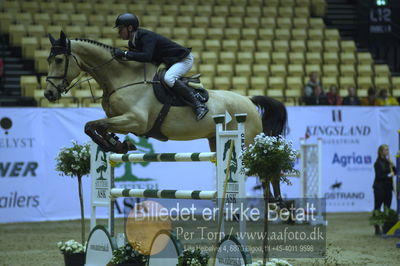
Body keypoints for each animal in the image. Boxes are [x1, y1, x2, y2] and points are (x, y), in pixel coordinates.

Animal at [44, 31, 288, 200]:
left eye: (59, 60)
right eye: (48, 60)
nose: (48, 93)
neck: (121, 78)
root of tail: (248, 100)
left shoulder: (136, 121)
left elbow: (92, 125)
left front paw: (117, 144)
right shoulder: (118, 118)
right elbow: (95, 126)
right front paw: (118, 145)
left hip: (247, 141)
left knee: (266, 171)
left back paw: (277, 206)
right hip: (216, 141)